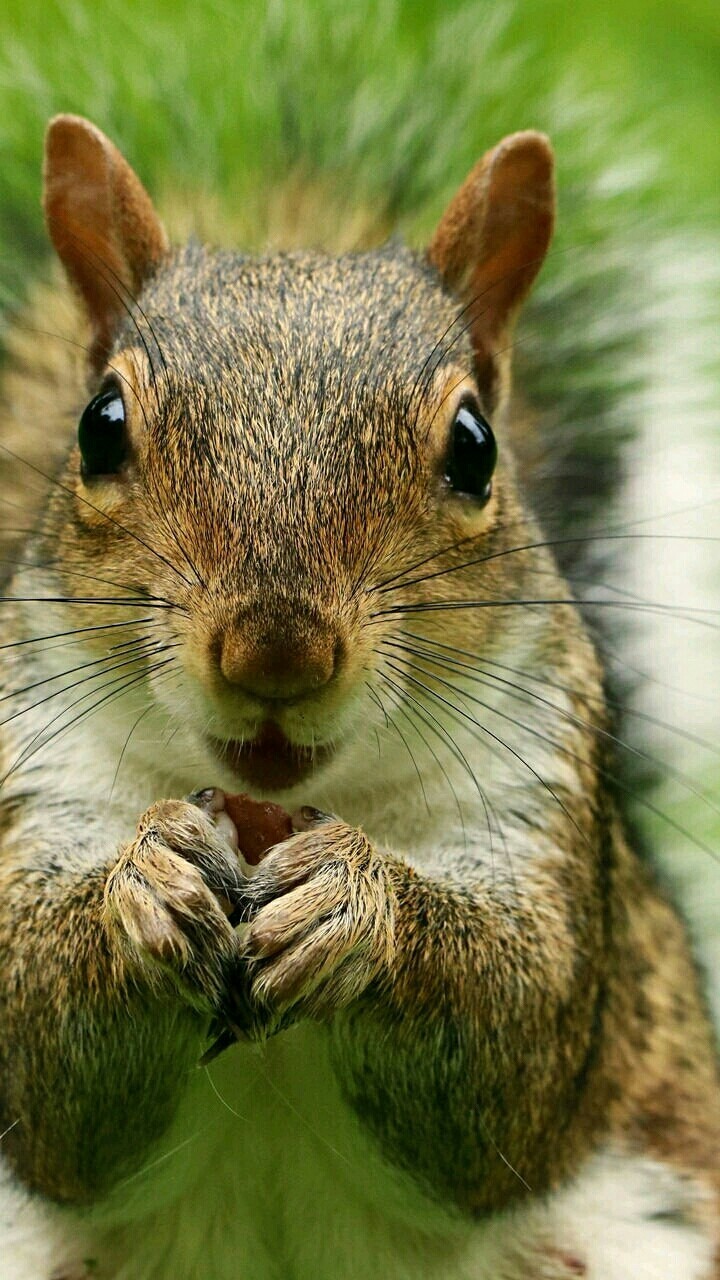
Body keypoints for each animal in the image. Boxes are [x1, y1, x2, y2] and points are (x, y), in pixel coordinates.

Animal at [0, 113, 717, 1280]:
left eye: (474, 446)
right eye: (99, 426)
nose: (275, 654)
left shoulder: (542, 794)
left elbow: (512, 1041)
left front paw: (353, 902)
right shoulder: (37, 771)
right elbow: (46, 1073)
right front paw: (146, 883)